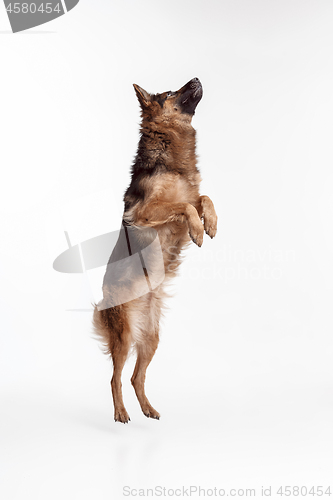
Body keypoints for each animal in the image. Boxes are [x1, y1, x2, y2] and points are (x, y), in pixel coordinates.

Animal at [92, 78, 217, 422]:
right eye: (170, 93)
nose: (197, 78)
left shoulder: (192, 194)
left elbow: (203, 198)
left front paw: (212, 224)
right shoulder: (148, 211)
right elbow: (185, 206)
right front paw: (198, 231)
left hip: (151, 338)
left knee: (137, 377)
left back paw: (148, 409)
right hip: (124, 337)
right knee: (115, 378)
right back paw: (121, 413)